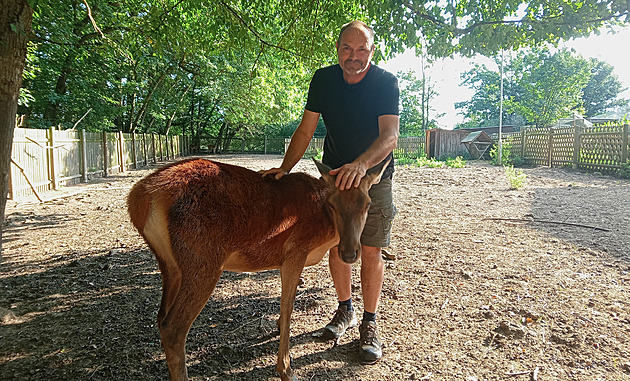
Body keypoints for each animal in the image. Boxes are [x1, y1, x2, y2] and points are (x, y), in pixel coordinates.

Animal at [127, 156, 390, 378]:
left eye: (367, 204)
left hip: (170, 265)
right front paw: (286, 370)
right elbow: (288, 307)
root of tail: (140, 197)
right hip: (202, 261)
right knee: (173, 327)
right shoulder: (295, 252)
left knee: (161, 317)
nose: (349, 252)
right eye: (333, 204)